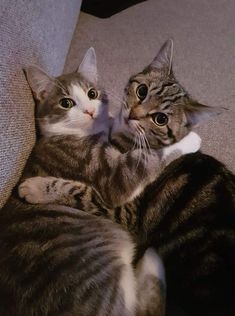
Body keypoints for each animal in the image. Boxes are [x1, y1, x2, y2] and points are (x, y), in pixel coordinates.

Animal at [18, 40, 235, 316]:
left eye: (160, 119)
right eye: (142, 91)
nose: (132, 114)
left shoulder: (122, 207)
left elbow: (82, 191)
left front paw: (34, 187)